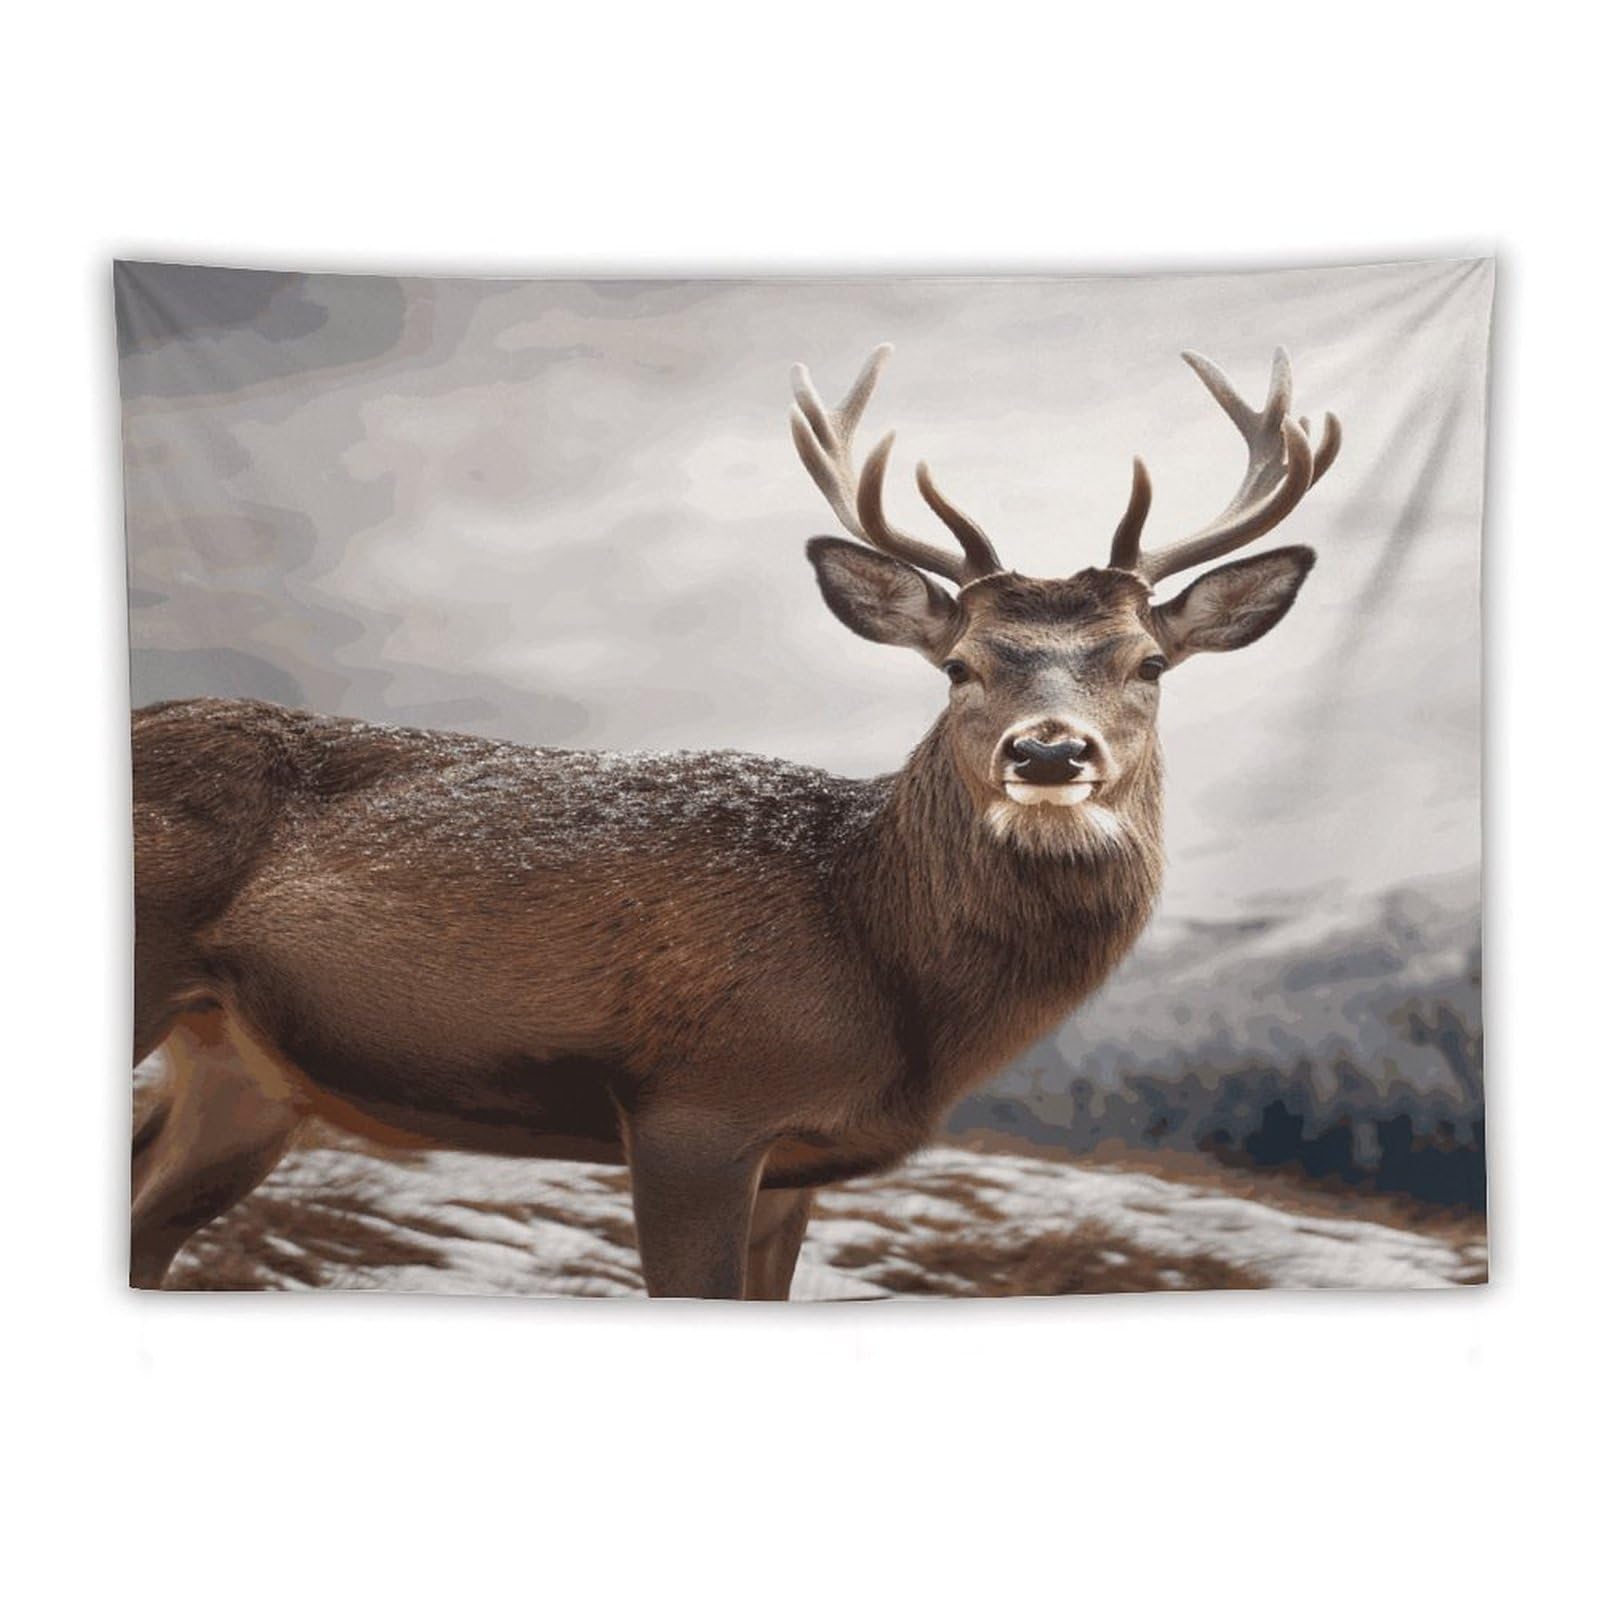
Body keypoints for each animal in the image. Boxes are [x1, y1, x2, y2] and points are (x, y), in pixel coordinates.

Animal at [129, 343, 1340, 1298]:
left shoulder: (794, 1159)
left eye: (1148, 663)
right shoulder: (697, 1106)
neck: (874, 960)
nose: (1048, 752)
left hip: (244, 1070)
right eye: (958, 664)